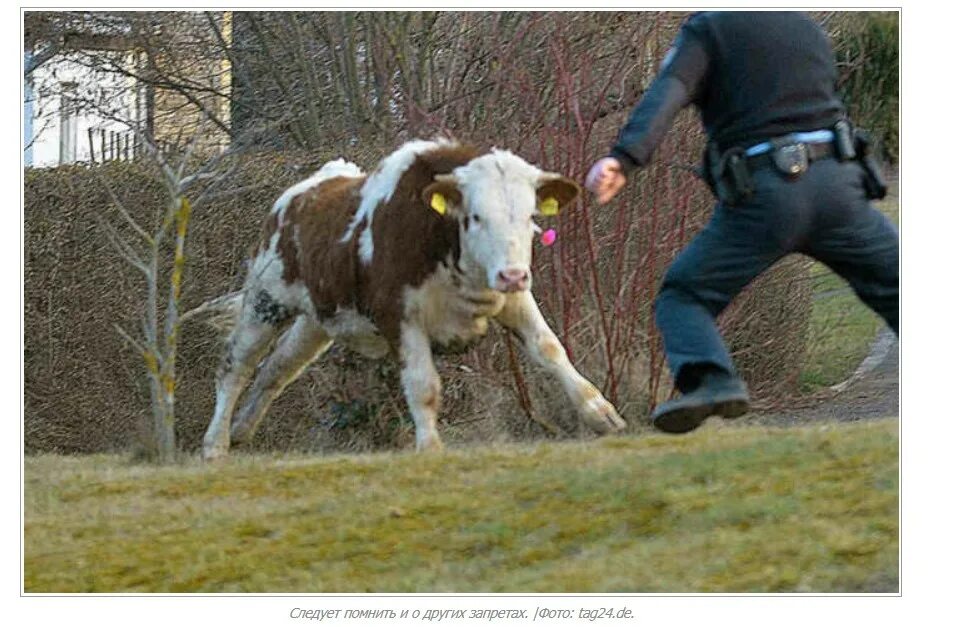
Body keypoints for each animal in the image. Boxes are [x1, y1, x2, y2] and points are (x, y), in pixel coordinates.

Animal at [202, 139, 624, 462]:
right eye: (475, 216)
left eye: (529, 216)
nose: (512, 274)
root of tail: (307, 189)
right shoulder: (399, 314)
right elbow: (423, 383)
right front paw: (430, 446)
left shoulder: (515, 301)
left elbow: (550, 349)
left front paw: (600, 413)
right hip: (265, 301)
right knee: (236, 366)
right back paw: (215, 443)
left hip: (316, 320)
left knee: (278, 367)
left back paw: (242, 427)